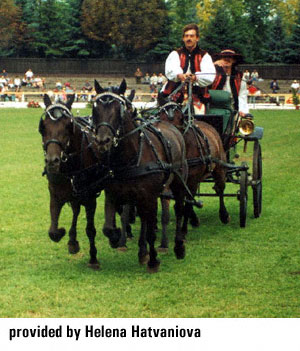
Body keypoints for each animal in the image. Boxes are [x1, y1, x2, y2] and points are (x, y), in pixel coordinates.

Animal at [38, 93, 99, 270]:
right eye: (43, 127)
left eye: (68, 126)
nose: (52, 161)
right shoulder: (55, 195)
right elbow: (52, 232)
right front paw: (63, 233)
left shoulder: (90, 198)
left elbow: (90, 229)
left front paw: (93, 258)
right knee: (76, 209)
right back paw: (72, 240)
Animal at [91, 79, 188, 272]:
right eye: (95, 109)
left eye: (119, 110)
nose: (102, 141)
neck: (130, 158)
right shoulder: (114, 194)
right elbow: (109, 227)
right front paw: (117, 239)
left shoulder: (149, 196)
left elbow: (151, 229)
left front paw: (153, 260)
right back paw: (142, 251)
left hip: (177, 184)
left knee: (179, 210)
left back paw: (178, 246)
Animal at [159, 100, 230, 241]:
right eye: (160, 117)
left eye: (181, 118)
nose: (170, 141)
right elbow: (181, 204)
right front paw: (192, 220)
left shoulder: (191, 180)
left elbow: (186, 205)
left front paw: (183, 231)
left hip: (219, 168)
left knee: (220, 189)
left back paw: (224, 215)